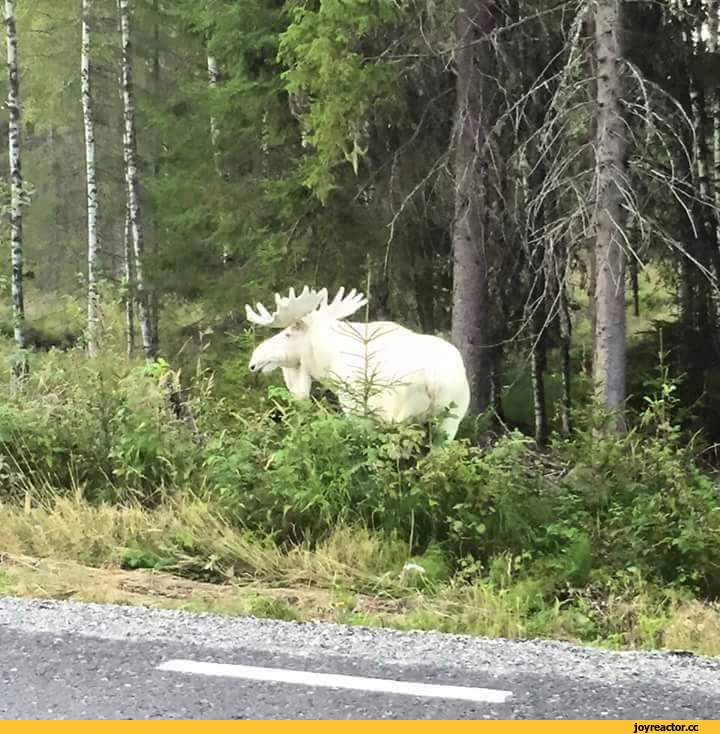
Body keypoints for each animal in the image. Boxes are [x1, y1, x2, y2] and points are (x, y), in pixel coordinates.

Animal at [246, 286, 472, 442]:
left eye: (287, 334)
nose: (254, 360)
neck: (326, 362)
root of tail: (435, 380)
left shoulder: (356, 408)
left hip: (398, 414)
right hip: (451, 419)